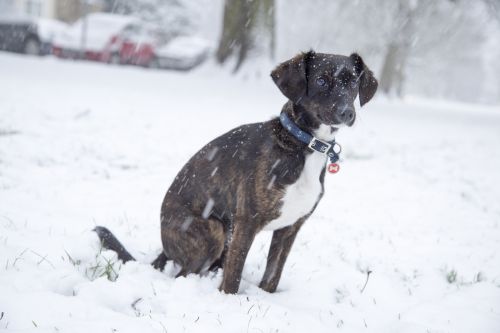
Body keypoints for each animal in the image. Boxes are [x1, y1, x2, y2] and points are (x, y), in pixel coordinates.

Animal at [94, 50, 376, 294]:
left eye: (352, 82)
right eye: (320, 80)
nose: (347, 112)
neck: (303, 144)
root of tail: (164, 246)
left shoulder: (290, 228)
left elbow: (272, 276)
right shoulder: (247, 221)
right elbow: (234, 275)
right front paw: (229, 301)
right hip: (213, 231)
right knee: (184, 274)